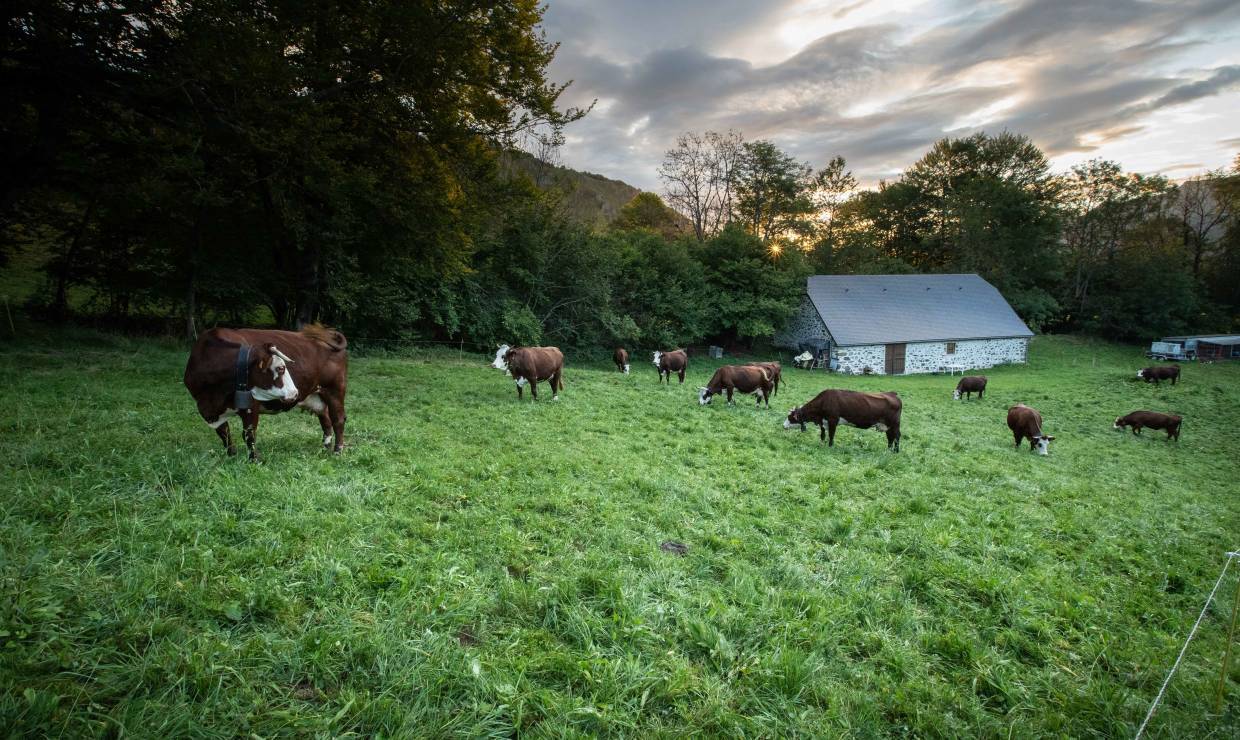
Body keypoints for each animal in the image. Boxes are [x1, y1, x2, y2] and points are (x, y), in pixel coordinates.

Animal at [183, 324, 349, 458]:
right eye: (280, 368)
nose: (295, 392)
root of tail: (326, 337)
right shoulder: (208, 410)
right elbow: (224, 433)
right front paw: (231, 455)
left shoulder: (250, 405)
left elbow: (249, 434)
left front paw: (254, 460)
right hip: (315, 395)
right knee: (325, 418)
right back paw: (325, 447)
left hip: (334, 390)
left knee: (338, 420)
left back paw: (337, 451)